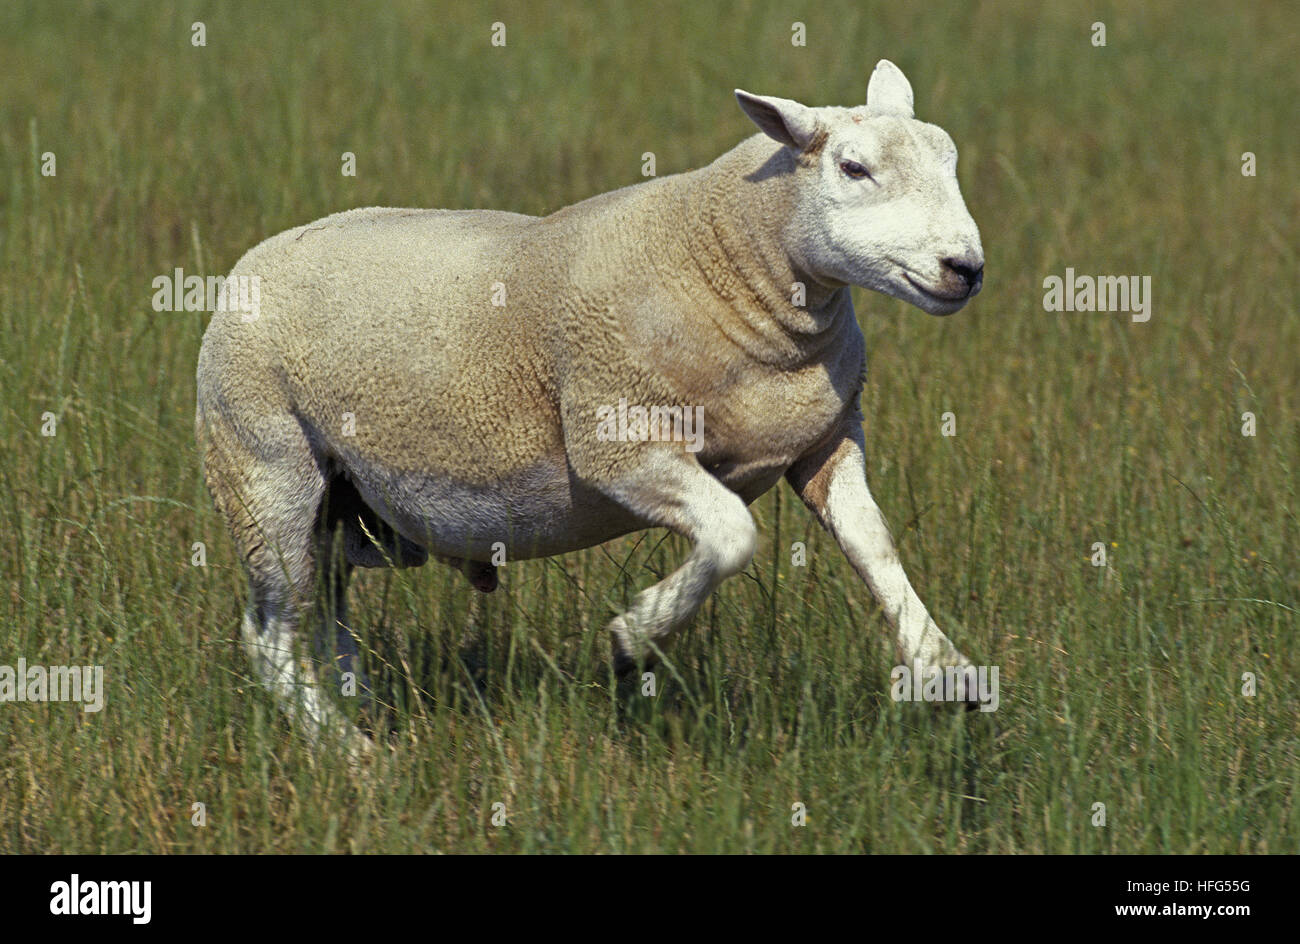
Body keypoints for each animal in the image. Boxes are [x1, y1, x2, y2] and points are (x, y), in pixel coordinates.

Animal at [197, 59, 977, 759]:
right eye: (853, 169)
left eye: (951, 159)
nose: (966, 269)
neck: (730, 262)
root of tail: (247, 266)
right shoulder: (618, 441)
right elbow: (732, 534)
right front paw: (633, 640)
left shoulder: (826, 443)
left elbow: (875, 547)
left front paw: (948, 671)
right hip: (265, 468)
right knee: (270, 635)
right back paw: (352, 754)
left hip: (340, 502)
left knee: (326, 620)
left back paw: (358, 717)